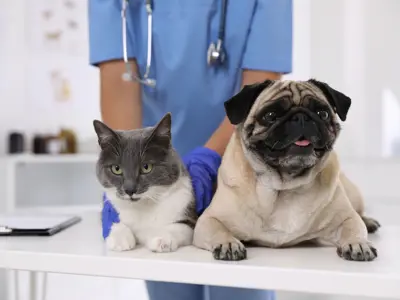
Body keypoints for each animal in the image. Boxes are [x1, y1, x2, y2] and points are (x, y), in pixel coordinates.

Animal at [92, 113, 195, 252]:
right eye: (116, 168)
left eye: (146, 167)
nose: (130, 190)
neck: (143, 206)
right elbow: (114, 221)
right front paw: (120, 238)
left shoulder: (186, 208)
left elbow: (180, 226)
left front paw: (162, 239)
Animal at [192, 78, 380, 262]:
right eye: (270, 116)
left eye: (323, 114)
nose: (301, 117)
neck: (285, 187)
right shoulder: (208, 220)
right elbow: (218, 230)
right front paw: (228, 244)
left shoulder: (346, 218)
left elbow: (353, 226)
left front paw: (358, 244)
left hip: (354, 194)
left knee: (359, 213)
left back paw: (369, 222)